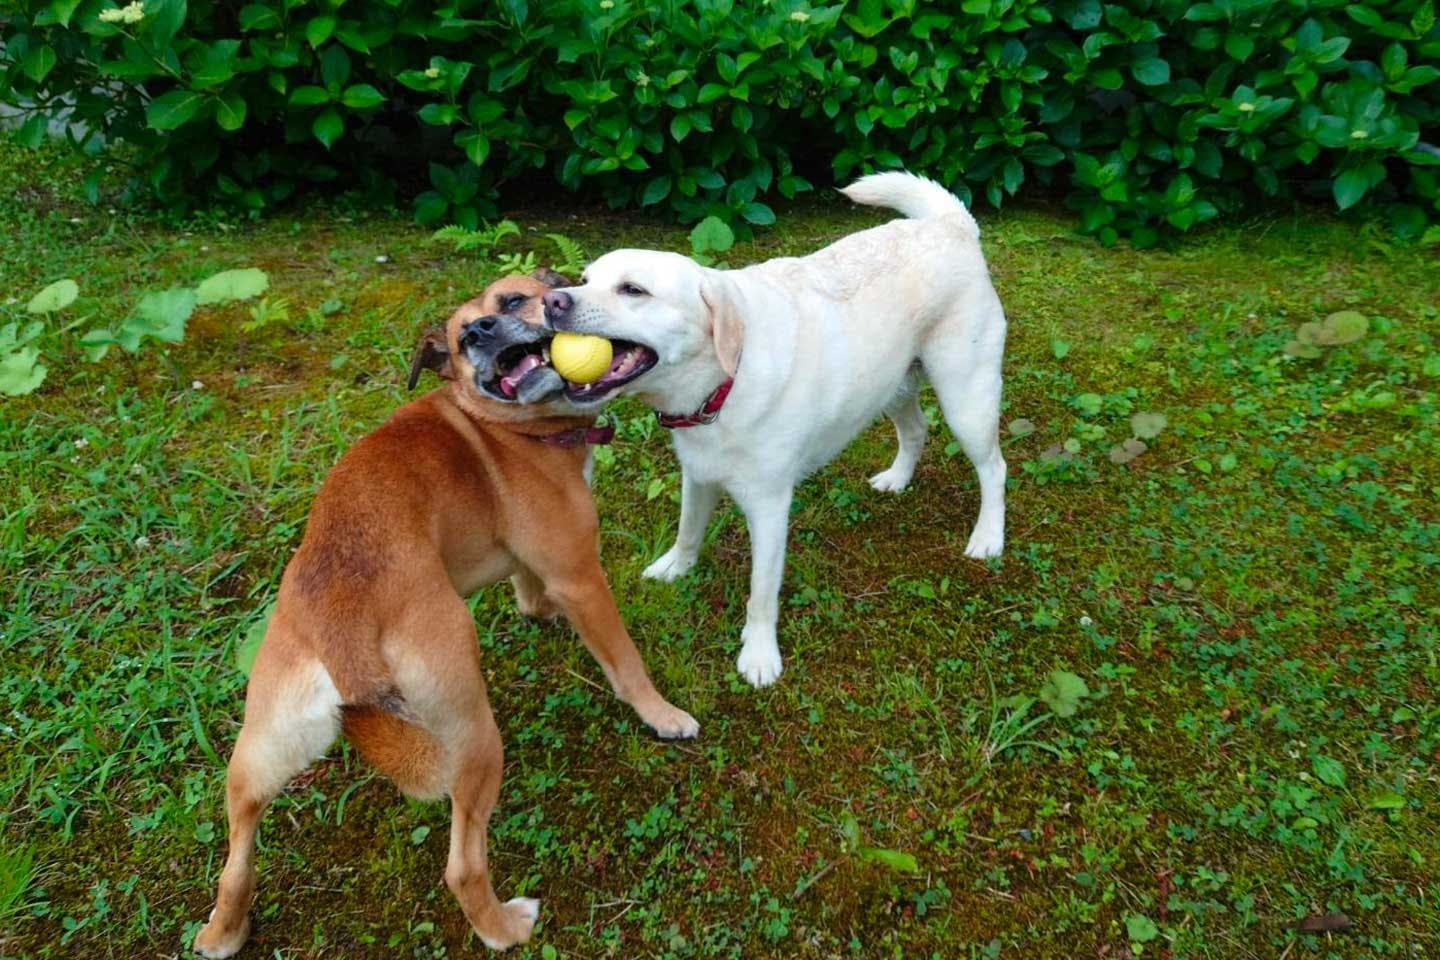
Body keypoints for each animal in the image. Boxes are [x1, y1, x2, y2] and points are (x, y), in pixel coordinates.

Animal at [194, 272, 699, 960]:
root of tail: (341, 624)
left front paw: (537, 613)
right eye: (463, 339)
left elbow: (526, 589)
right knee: (462, 865)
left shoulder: (531, 563)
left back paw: (224, 930)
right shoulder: (582, 578)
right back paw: (504, 928)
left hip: (258, 754)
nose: (482, 332)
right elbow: (625, 663)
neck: (505, 426)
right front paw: (662, 715)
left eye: (511, 301)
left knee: (234, 855)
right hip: (471, 732)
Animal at [544, 170, 1008, 682]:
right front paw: (674, 568)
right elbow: (688, 532)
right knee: (916, 429)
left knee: (994, 468)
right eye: (585, 280)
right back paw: (897, 478)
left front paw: (759, 654)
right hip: (894, 387)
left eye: (633, 290)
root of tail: (951, 224)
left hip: (966, 397)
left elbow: (761, 592)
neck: (722, 382)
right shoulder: (698, 476)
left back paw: (988, 536)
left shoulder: (769, 509)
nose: (551, 300)